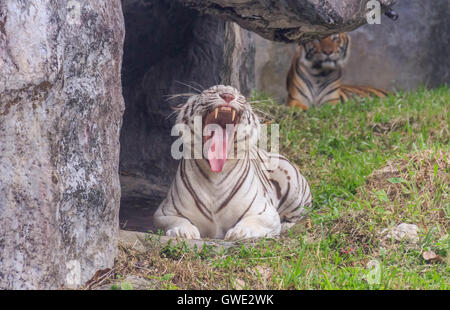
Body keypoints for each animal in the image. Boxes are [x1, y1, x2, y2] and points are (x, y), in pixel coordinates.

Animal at [153, 85, 312, 242]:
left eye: (239, 95)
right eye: (213, 90)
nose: (228, 96)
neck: (215, 176)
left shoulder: (266, 212)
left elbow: (253, 221)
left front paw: (239, 232)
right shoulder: (164, 212)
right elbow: (178, 220)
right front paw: (182, 231)